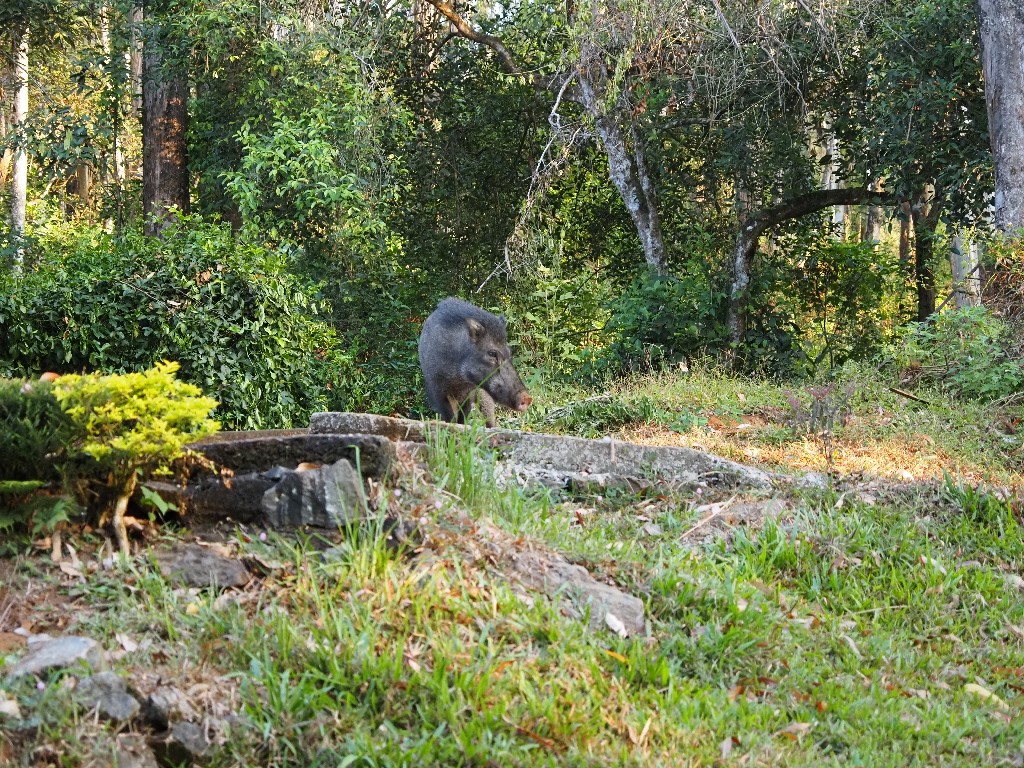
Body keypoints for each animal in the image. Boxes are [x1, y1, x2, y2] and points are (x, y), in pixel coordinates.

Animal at [417, 296, 532, 428]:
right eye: (492, 353)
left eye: (509, 353)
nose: (528, 398)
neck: (458, 378)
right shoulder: (438, 390)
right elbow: (450, 417)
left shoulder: (470, 392)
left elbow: (463, 416)